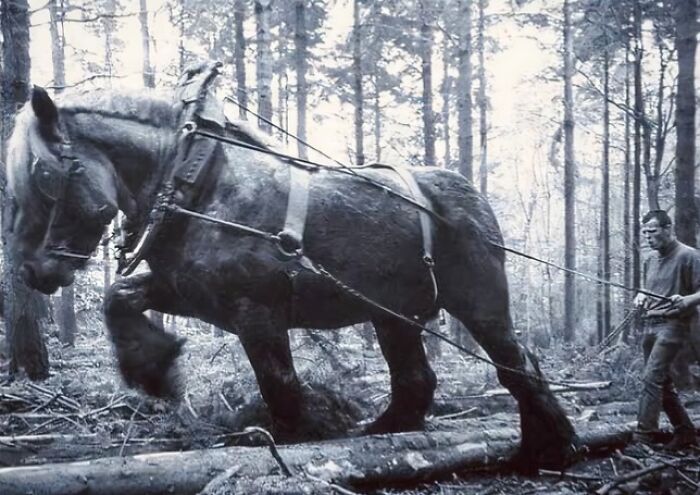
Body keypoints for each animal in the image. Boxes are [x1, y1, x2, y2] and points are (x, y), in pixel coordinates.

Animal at [5, 84, 577, 470]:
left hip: (480, 303)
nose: (33, 271)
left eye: (44, 175)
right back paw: (390, 431)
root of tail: (468, 193)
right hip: (393, 315)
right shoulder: (194, 294)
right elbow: (118, 296)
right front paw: (153, 368)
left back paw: (550, 447)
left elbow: (278, 380)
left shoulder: (256, 310)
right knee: (417, 376)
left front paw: (301, 432)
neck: (198, 184)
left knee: (517, 364)